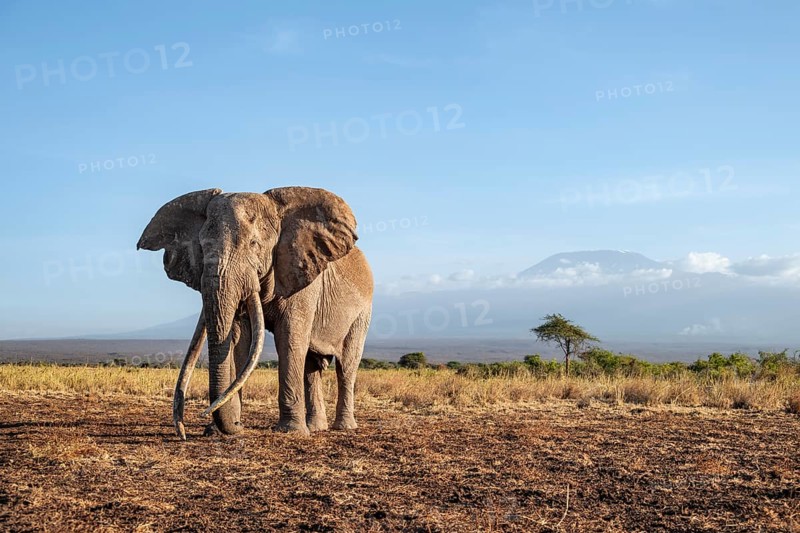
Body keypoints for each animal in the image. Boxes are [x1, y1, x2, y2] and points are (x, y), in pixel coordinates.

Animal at [137, 187, 373, 438]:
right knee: (311, 366)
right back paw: (316, 427)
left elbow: (289, 338)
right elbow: (242, 340)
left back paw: (343, 427)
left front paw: (290, 432)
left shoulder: (303, 275)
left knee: (346, 365)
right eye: (202, 247)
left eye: (254, 244)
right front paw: (225, 428)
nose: (184, 429)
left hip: (362, 312)